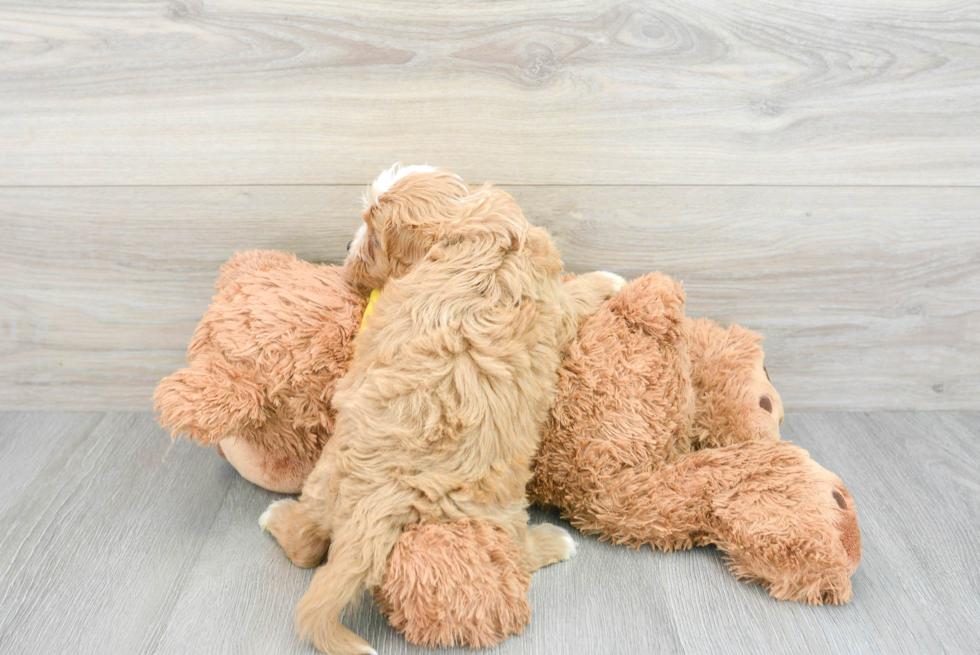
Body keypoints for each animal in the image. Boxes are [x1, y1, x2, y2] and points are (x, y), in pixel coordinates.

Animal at [260, 165, 624, 655]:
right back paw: (556, 542)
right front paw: (607, 280)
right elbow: (576, 296)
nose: (346, 251)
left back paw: (275, 517)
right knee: (519, 553)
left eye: (373, 237)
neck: (460, 230)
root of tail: (376, 503)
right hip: (500, 505)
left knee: (304, 545)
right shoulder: (555, 305)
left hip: (323, 476)